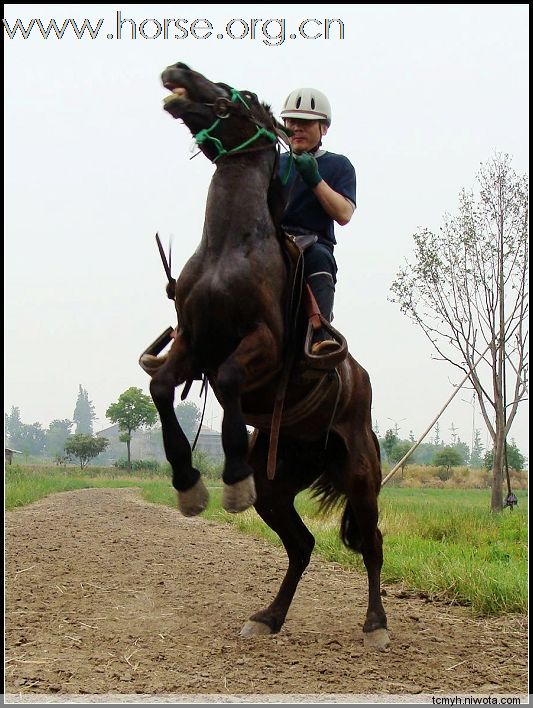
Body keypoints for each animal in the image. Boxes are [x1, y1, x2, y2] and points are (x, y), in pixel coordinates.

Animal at [139, 63, 388, 648]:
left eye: (244, 95)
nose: (177, 70)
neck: (230, 248)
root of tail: (359, 378)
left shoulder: (262, 347)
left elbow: (230, 379)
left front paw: (230, 479)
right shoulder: (192, 346)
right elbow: (160, 388)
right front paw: (189, 485)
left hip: (361, 473)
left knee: (372, 543)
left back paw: (375, 624)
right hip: (277, 486)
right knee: (301, 545)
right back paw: (269, 616)